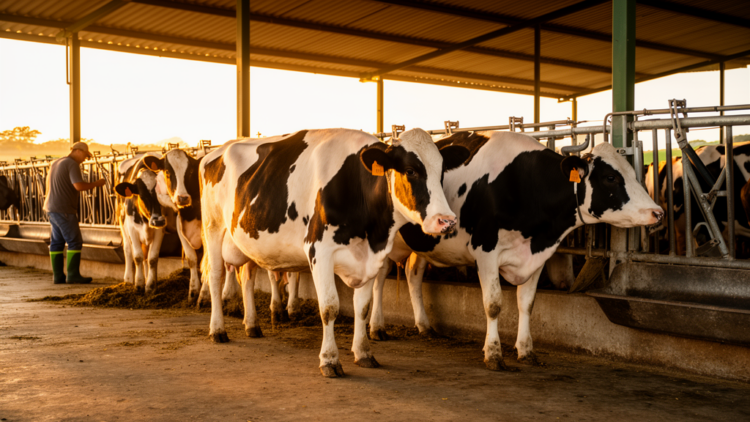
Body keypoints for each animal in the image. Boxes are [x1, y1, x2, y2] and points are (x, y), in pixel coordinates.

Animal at [199, 128, 469, 377]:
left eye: (442, 171)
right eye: (411, 170)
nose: (447, 221)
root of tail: (216, 151)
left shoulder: (370, 257)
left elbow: (362, 307)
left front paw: (363, 353)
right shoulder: (320, 251)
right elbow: (329, 308)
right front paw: (329, 360)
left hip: (245, 239)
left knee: (247, 277)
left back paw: (252, 326)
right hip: (213, 228)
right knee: (216, 277)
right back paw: (218, 330)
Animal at [368, 130, 663, 370]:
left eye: (634, 174)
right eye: (610, 177)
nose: (658, 212)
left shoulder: (537, 255)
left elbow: (527, 303)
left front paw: (526, 350)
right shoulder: (485, 252)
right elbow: (493, 305)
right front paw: (493, 354)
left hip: (424, 244)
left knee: (412, 274)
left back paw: (424, 326)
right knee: (380, 278)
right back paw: (376, 328)